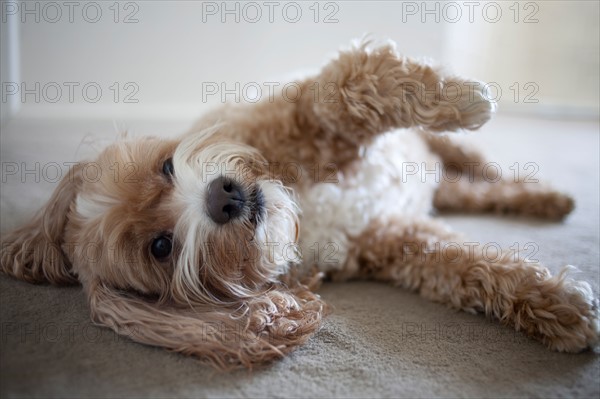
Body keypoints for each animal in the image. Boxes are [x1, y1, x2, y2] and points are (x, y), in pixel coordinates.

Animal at [0, 40, 596, 368]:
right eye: (160, 247)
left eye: (165, 166)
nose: (222, 196)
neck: (297, 210)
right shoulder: (392, 239)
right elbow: (473, 269)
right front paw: (559, 306)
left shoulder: (301, 114)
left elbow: (344, 88)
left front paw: (457, 95)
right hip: (440, 194)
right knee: (479, 193)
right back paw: (545, 201)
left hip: (444, 157)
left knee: (477, 167)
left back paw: (542, 189)